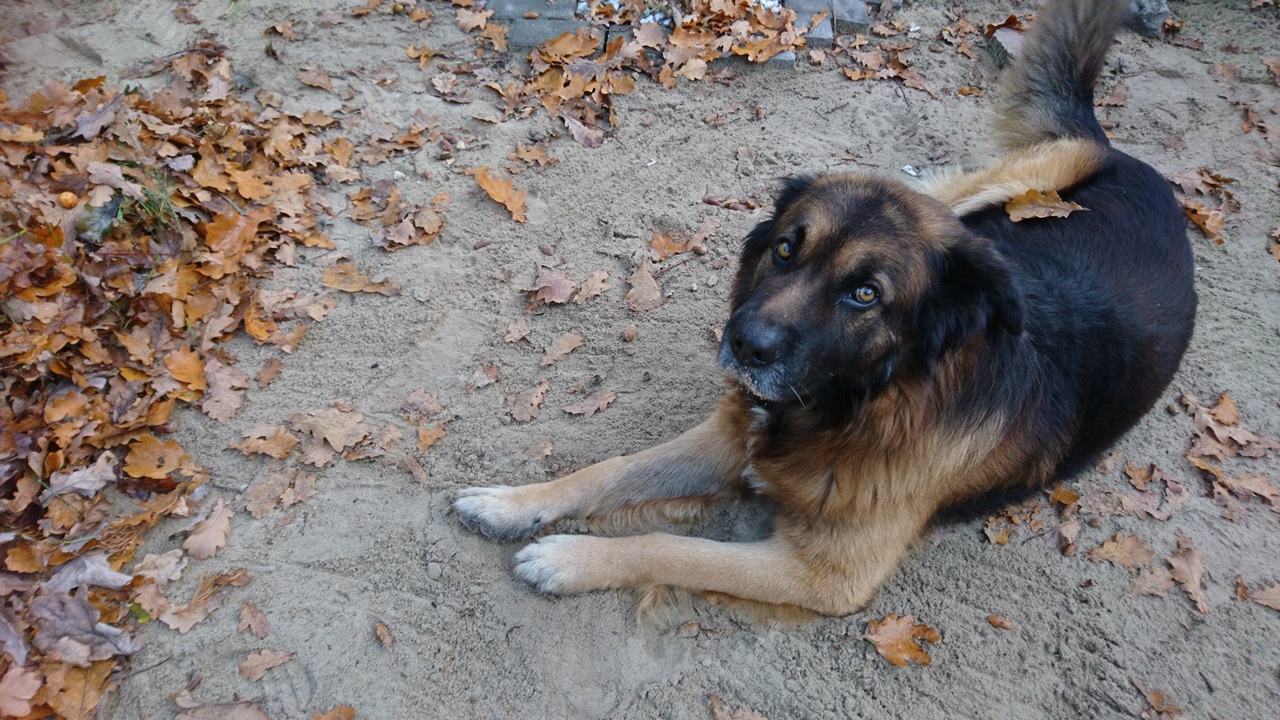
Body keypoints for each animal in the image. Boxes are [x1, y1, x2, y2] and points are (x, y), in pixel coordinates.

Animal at [453, 0, 1196, 616]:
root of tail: (1125, 157)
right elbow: (610, 470)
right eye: (786, 249)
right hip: (999, 196)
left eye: (864, 294)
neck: (858, 405)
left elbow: (671, 548)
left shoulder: (825, 576)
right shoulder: (733, 436)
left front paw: (570, 557)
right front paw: (514, 503)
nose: (744, 345)